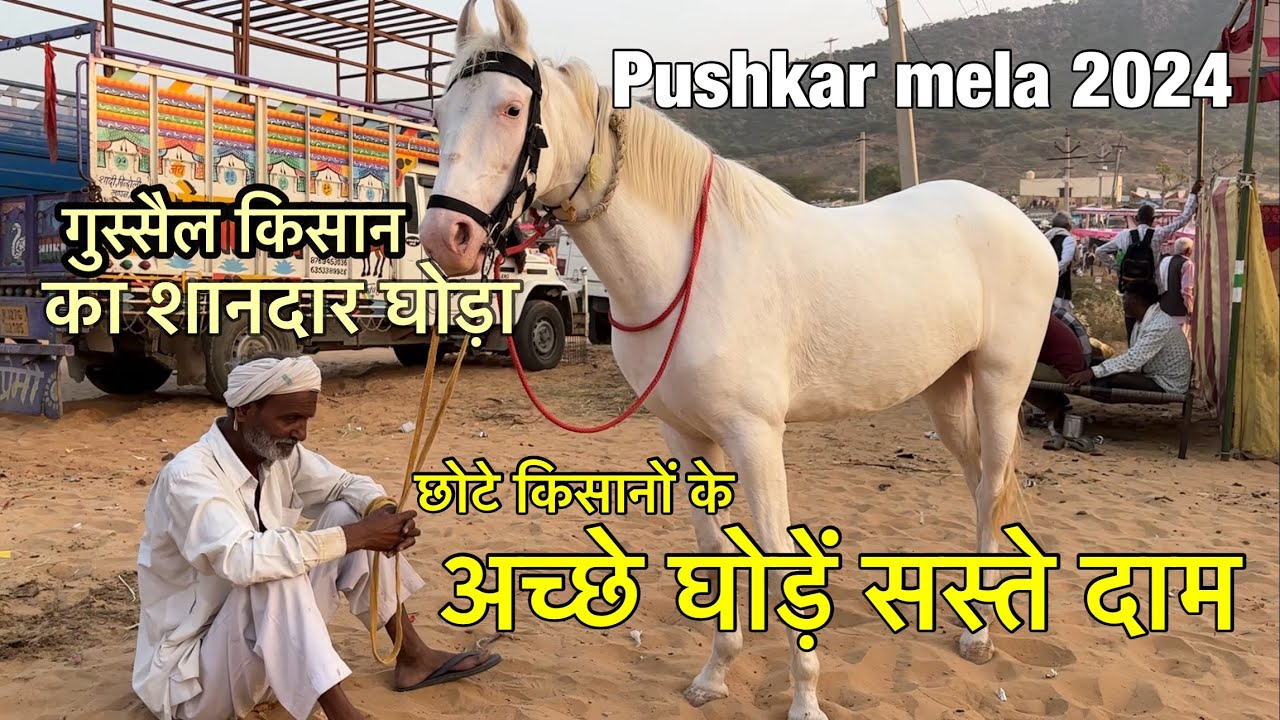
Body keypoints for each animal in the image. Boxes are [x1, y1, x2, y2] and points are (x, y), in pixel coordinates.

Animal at [417, 2, 1059, 718]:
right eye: (440, 113)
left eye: (509, 109)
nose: (446, 237)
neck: (687, 270)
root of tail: (1024, 224)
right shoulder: (686, 435)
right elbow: (713, 550)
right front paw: (715, 674)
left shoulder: (756, 436)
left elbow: (778, 556)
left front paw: (804, 697)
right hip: (944, 391)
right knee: (978, 486)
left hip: (999, 386)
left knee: (994, 483)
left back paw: (983, 637)